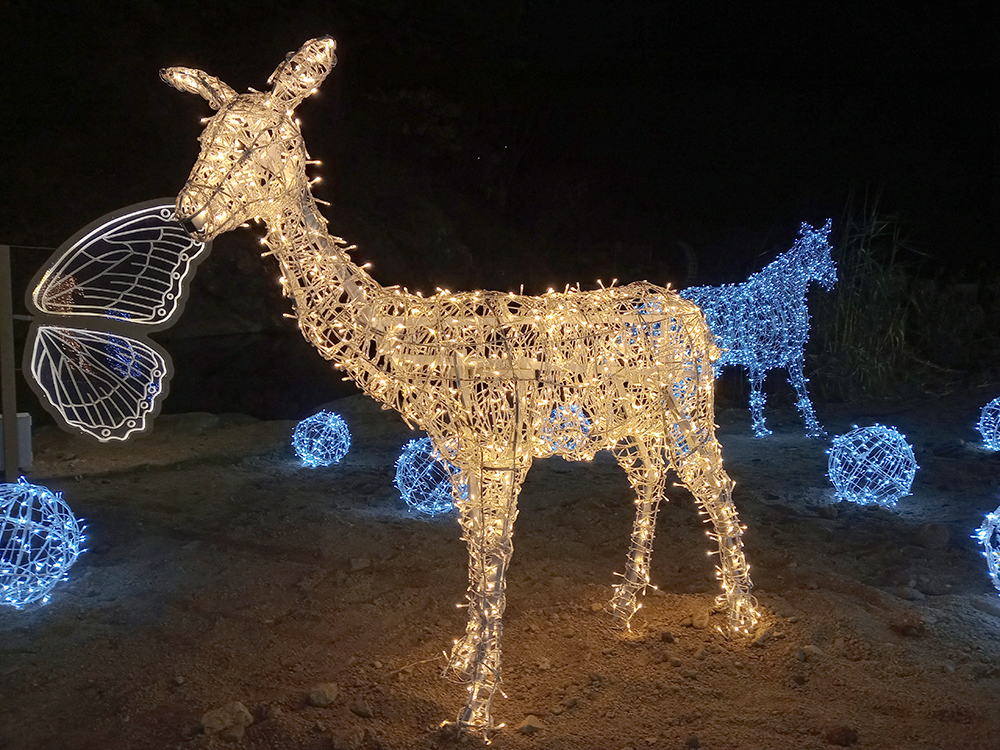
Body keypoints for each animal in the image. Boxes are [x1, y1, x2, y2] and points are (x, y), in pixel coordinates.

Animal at [164, 38, 756, 736]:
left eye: (255, 141)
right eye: (207, 137)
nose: (188, 214)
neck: (414, 338)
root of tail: (687, 308)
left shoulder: (499, 454)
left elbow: (495, 558)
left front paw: (478, 706)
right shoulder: (459, 458)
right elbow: (474, 556)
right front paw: (460, 663)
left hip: (689, 409)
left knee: (715, 488)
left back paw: (743, 618)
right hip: (633, 422)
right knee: (650, 481)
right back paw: (624, 605)